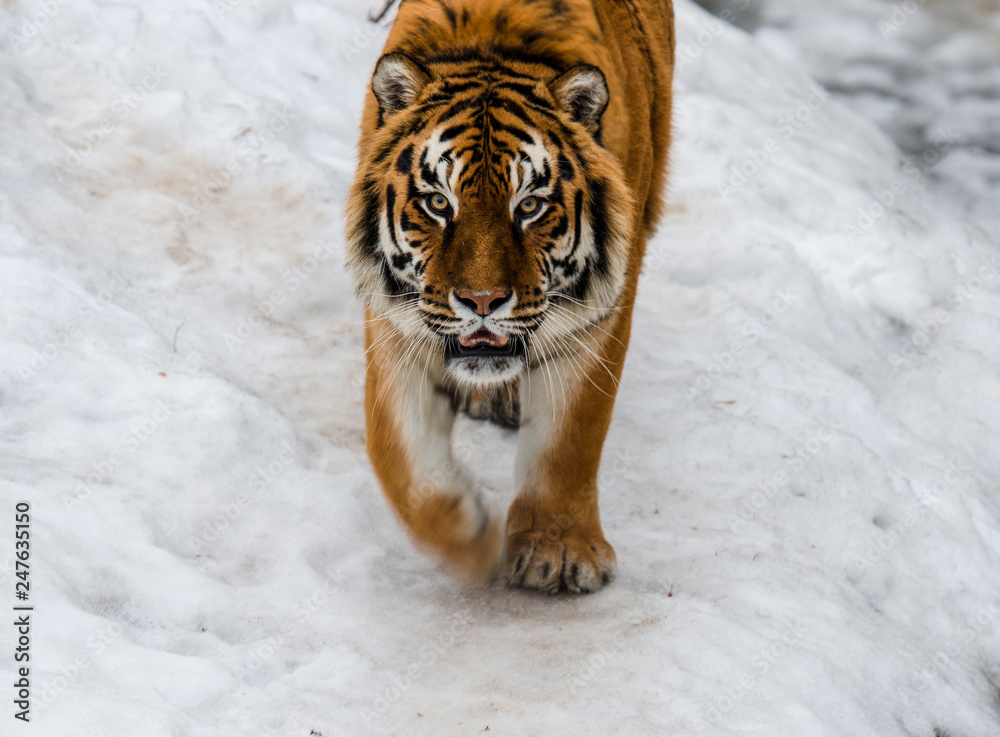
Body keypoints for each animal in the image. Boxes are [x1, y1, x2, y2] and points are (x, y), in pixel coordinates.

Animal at [345, 0, 674, 593]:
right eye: (437, 203)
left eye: (529, 206)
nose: (481, 301)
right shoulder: (397, 318)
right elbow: (395, 445)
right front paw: (465, 534)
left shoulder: (600, 313)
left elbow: (571, 435)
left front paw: (559, 550)